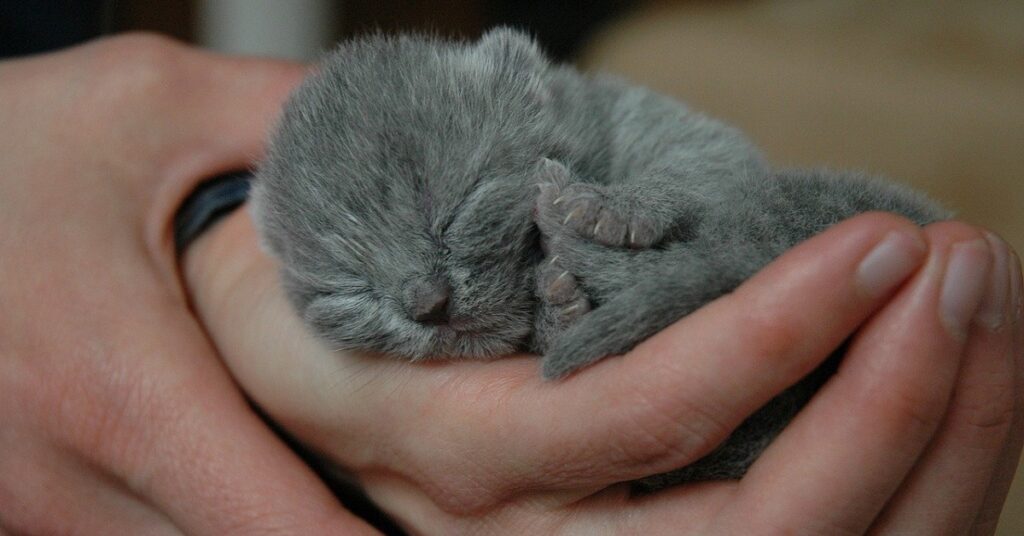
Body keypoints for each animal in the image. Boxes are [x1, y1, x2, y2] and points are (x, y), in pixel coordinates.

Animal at [249, 29, 950, 489]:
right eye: (348, 290)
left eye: (455, 207)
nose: (425, 303)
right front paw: (557, 304)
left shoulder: (688, 136)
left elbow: (697, 164)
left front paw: (613, 207)